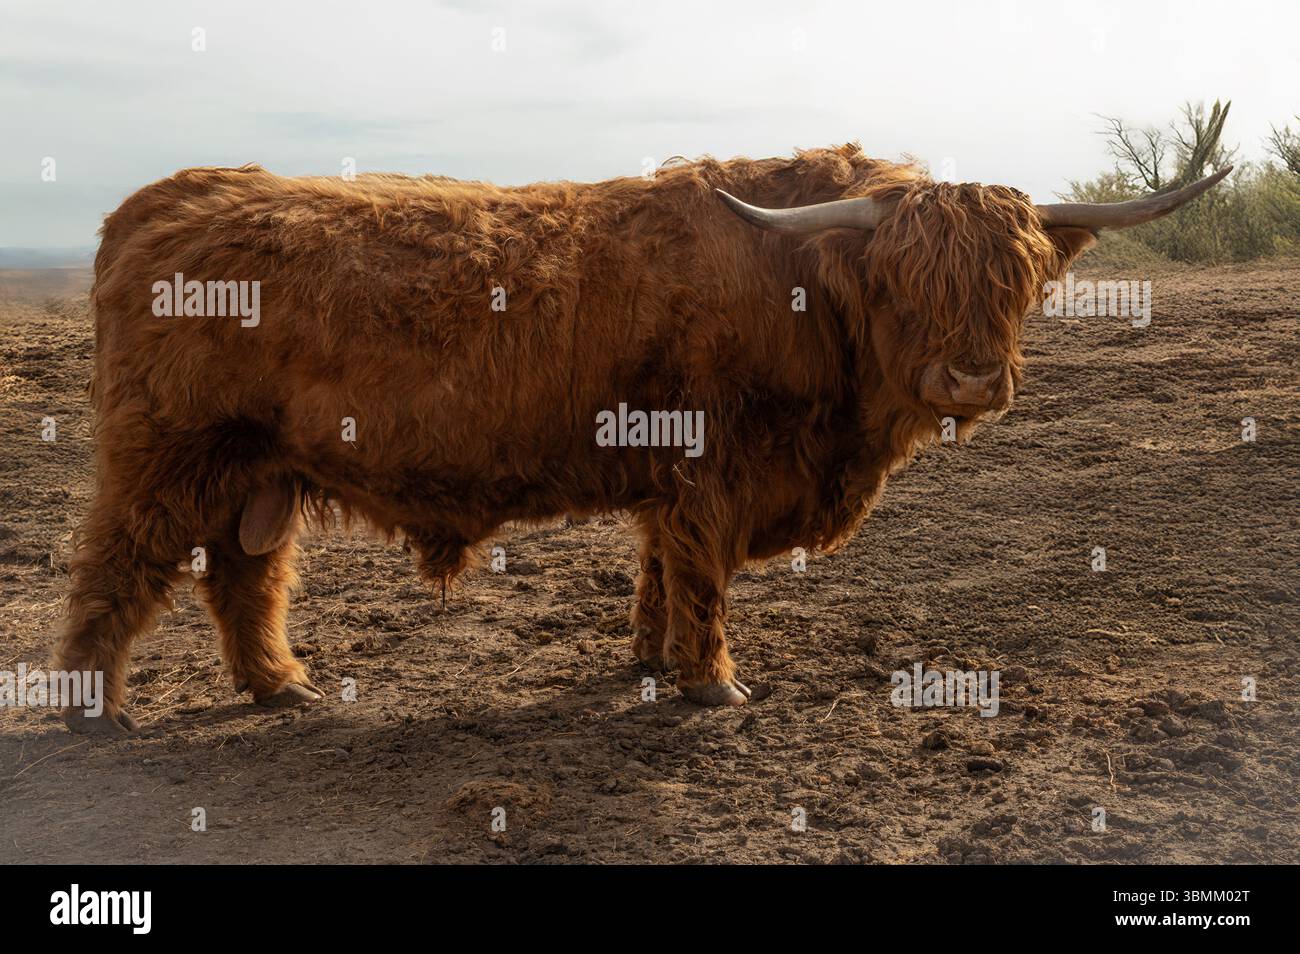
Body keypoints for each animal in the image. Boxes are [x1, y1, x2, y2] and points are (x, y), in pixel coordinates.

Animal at [54, 143, 1229, 733]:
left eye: (1016, 281)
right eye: (904, 281)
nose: (972, 376)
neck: (804, 288)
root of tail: (159, 199)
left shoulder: (668, 478)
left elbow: (661, 568)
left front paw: (650, 660)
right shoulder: (713, 466)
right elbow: (702, 573)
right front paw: (710, 682)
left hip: (253, 469)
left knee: (242, 576)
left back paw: (279, 685)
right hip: (167, 456)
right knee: (119, 565)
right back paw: (93, 712)